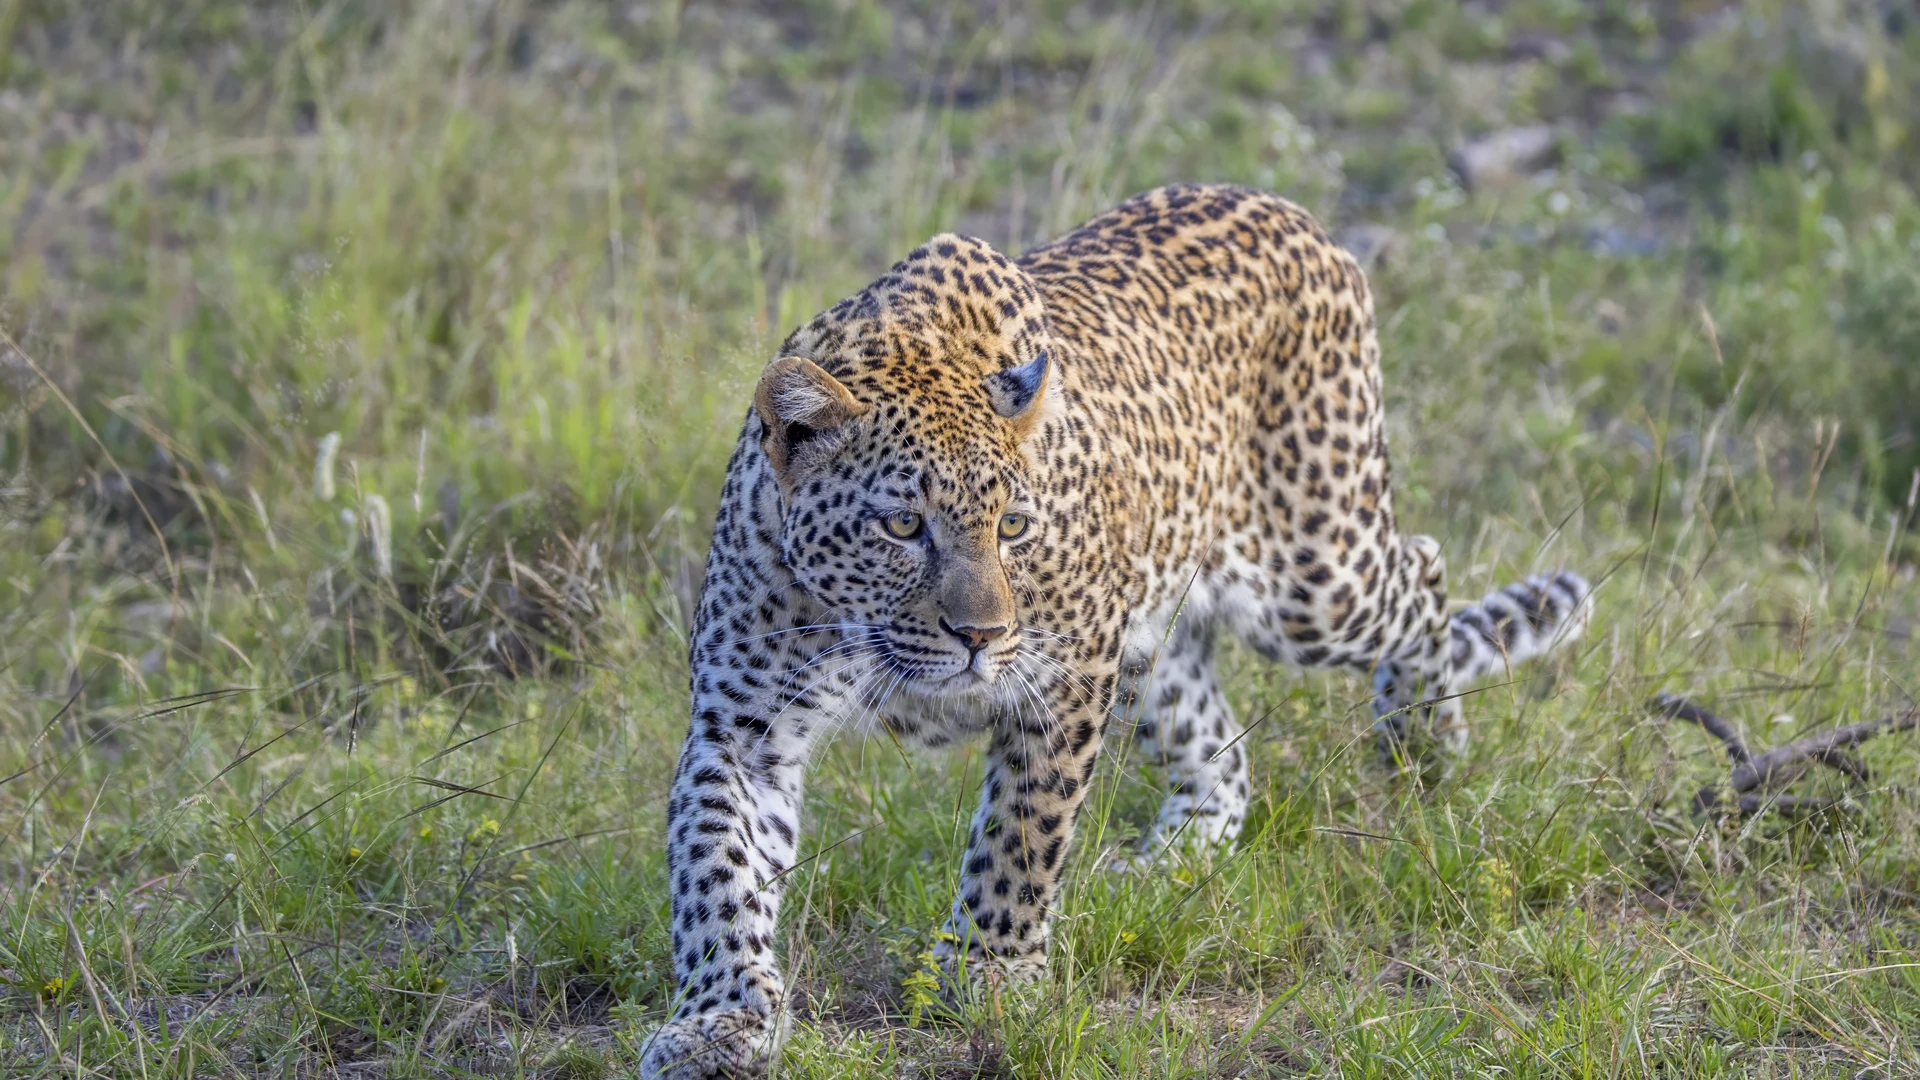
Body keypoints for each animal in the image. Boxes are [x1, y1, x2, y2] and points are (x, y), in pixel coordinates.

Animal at [640, 184, 1592, 1077]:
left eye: (1014, 527)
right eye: (903, 526)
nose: (980, 635)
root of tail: (1293, 212)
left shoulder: (1061, 682)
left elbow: (1021, 836)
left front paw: (989, 973)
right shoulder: (742, 727)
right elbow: (717, 871)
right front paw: (721, 1020)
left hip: (1314, 576)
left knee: (1422, 566)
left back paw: (1424, 741)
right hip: (1154, 643)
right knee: (1223, 757)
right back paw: (1166, 863)